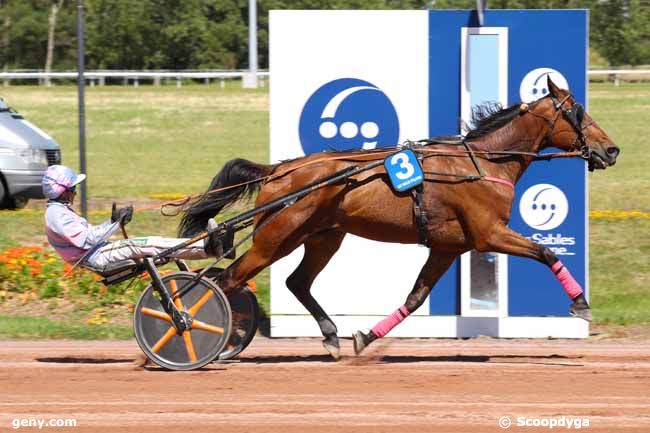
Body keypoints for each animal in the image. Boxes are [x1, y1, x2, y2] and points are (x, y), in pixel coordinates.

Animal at [178, 77, 616, 358]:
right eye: (577, 112)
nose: (611, 150)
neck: (483, 162)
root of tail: (279, 170)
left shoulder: (447, 247)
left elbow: (415, 297)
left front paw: (366, 337)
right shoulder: (489, 233)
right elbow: (547, 252)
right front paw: (580, 303)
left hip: (322, 236)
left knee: (294, 282)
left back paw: (329, 335)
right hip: (276, 235)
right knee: (226, 280)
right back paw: (202, 333)